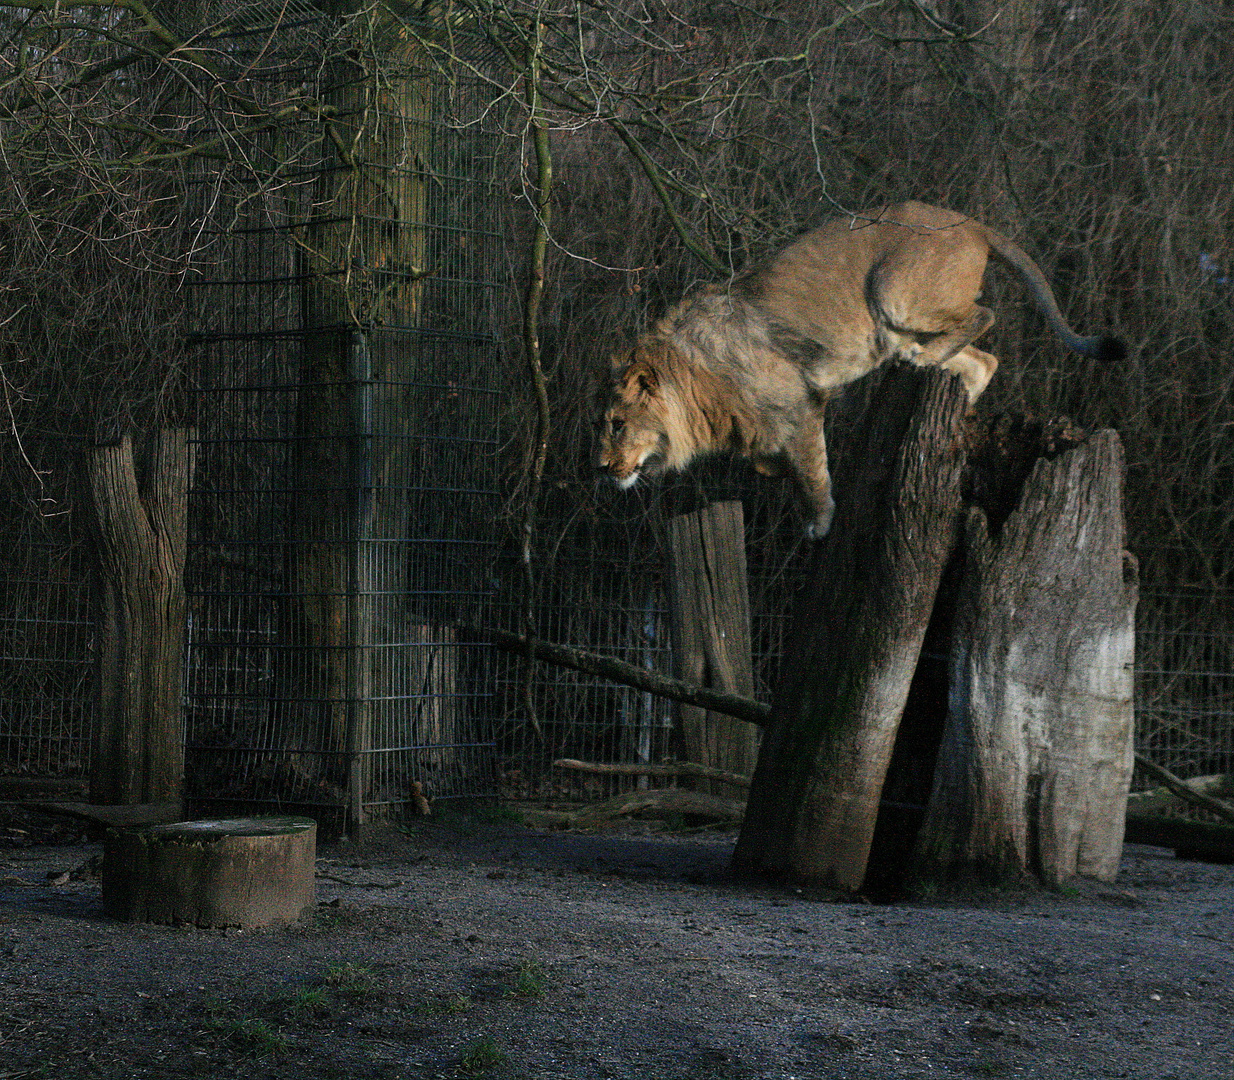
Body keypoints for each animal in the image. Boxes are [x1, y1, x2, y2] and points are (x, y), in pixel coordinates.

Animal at [592, 201, 1125, 538]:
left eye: (617, 425)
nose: (600, 469)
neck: (692, 378)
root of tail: (970, 222)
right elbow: (773, 463)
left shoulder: (800, 401)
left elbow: (811, 470)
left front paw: (820, 522)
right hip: (897, 326)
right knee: (984, 359)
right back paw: (953, 400)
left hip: (894, 291)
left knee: (984, 316)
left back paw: (929, 366)